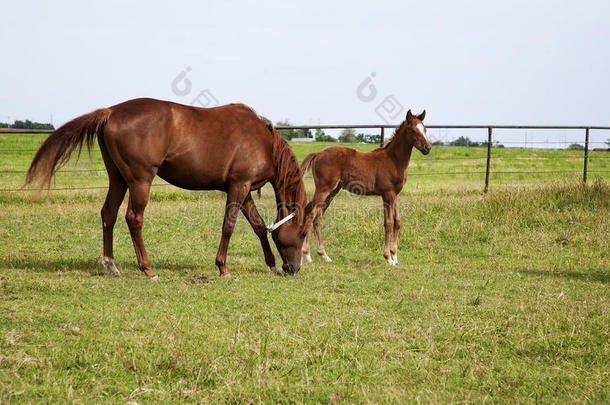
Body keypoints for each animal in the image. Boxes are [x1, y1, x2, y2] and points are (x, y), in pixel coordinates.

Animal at [25, 97, 308, 278]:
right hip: (140, 181)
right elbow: (229, 226)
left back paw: (112, 266)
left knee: (109, 214)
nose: (293, 269)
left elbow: (258, 225)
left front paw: (271, 266)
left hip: (118, 179)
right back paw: (148, 269)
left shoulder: (243, 188)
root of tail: (111, 111)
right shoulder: (239, 185)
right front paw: (223, 269)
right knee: (133, 218)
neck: (263, 142)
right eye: (303, 233)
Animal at [300, 109, 428, 264]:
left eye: (425, 129)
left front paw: (395, 256)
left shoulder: (394, 195)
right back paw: (307, 255)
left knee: (318, 217)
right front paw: (388, 258)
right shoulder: (387, 194)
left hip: (333, 191)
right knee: (310, 213)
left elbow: (397, 222)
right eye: (413, 130)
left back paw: (324, 255)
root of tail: (318, 153)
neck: (393, 160)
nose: (427, 148)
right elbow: (388, 223)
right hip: (324, 188)